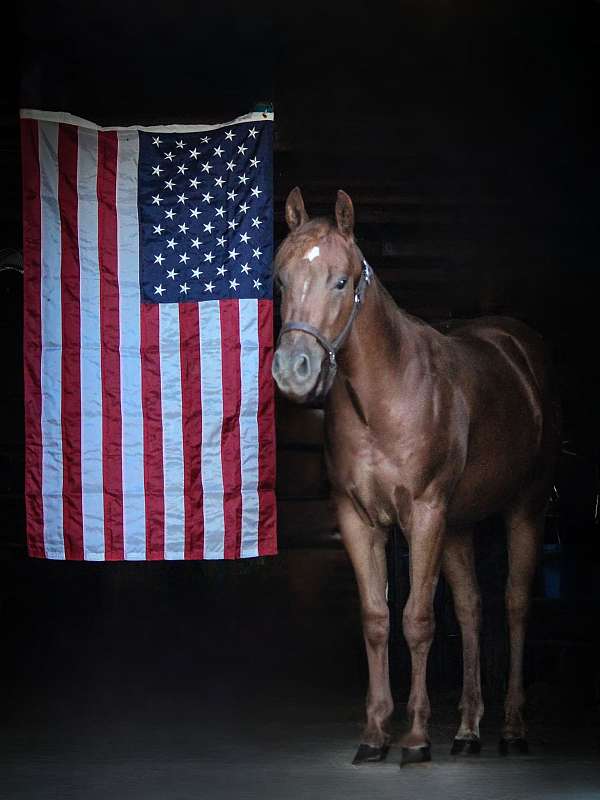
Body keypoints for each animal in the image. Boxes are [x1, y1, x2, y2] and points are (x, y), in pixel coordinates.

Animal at [274, 186, 560, 764]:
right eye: (281, 279)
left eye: (341, 281)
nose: (294, 369)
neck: (384, 396)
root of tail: (518, 346)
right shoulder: (358, 519)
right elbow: (377, 618)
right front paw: (375, 734)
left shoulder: (424, 514)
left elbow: (417, 620)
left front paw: (416, 738)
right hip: (459, 525)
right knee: (471, 608)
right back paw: (468, 731)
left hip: (525, 507)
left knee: (515, 603)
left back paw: (512, 728)